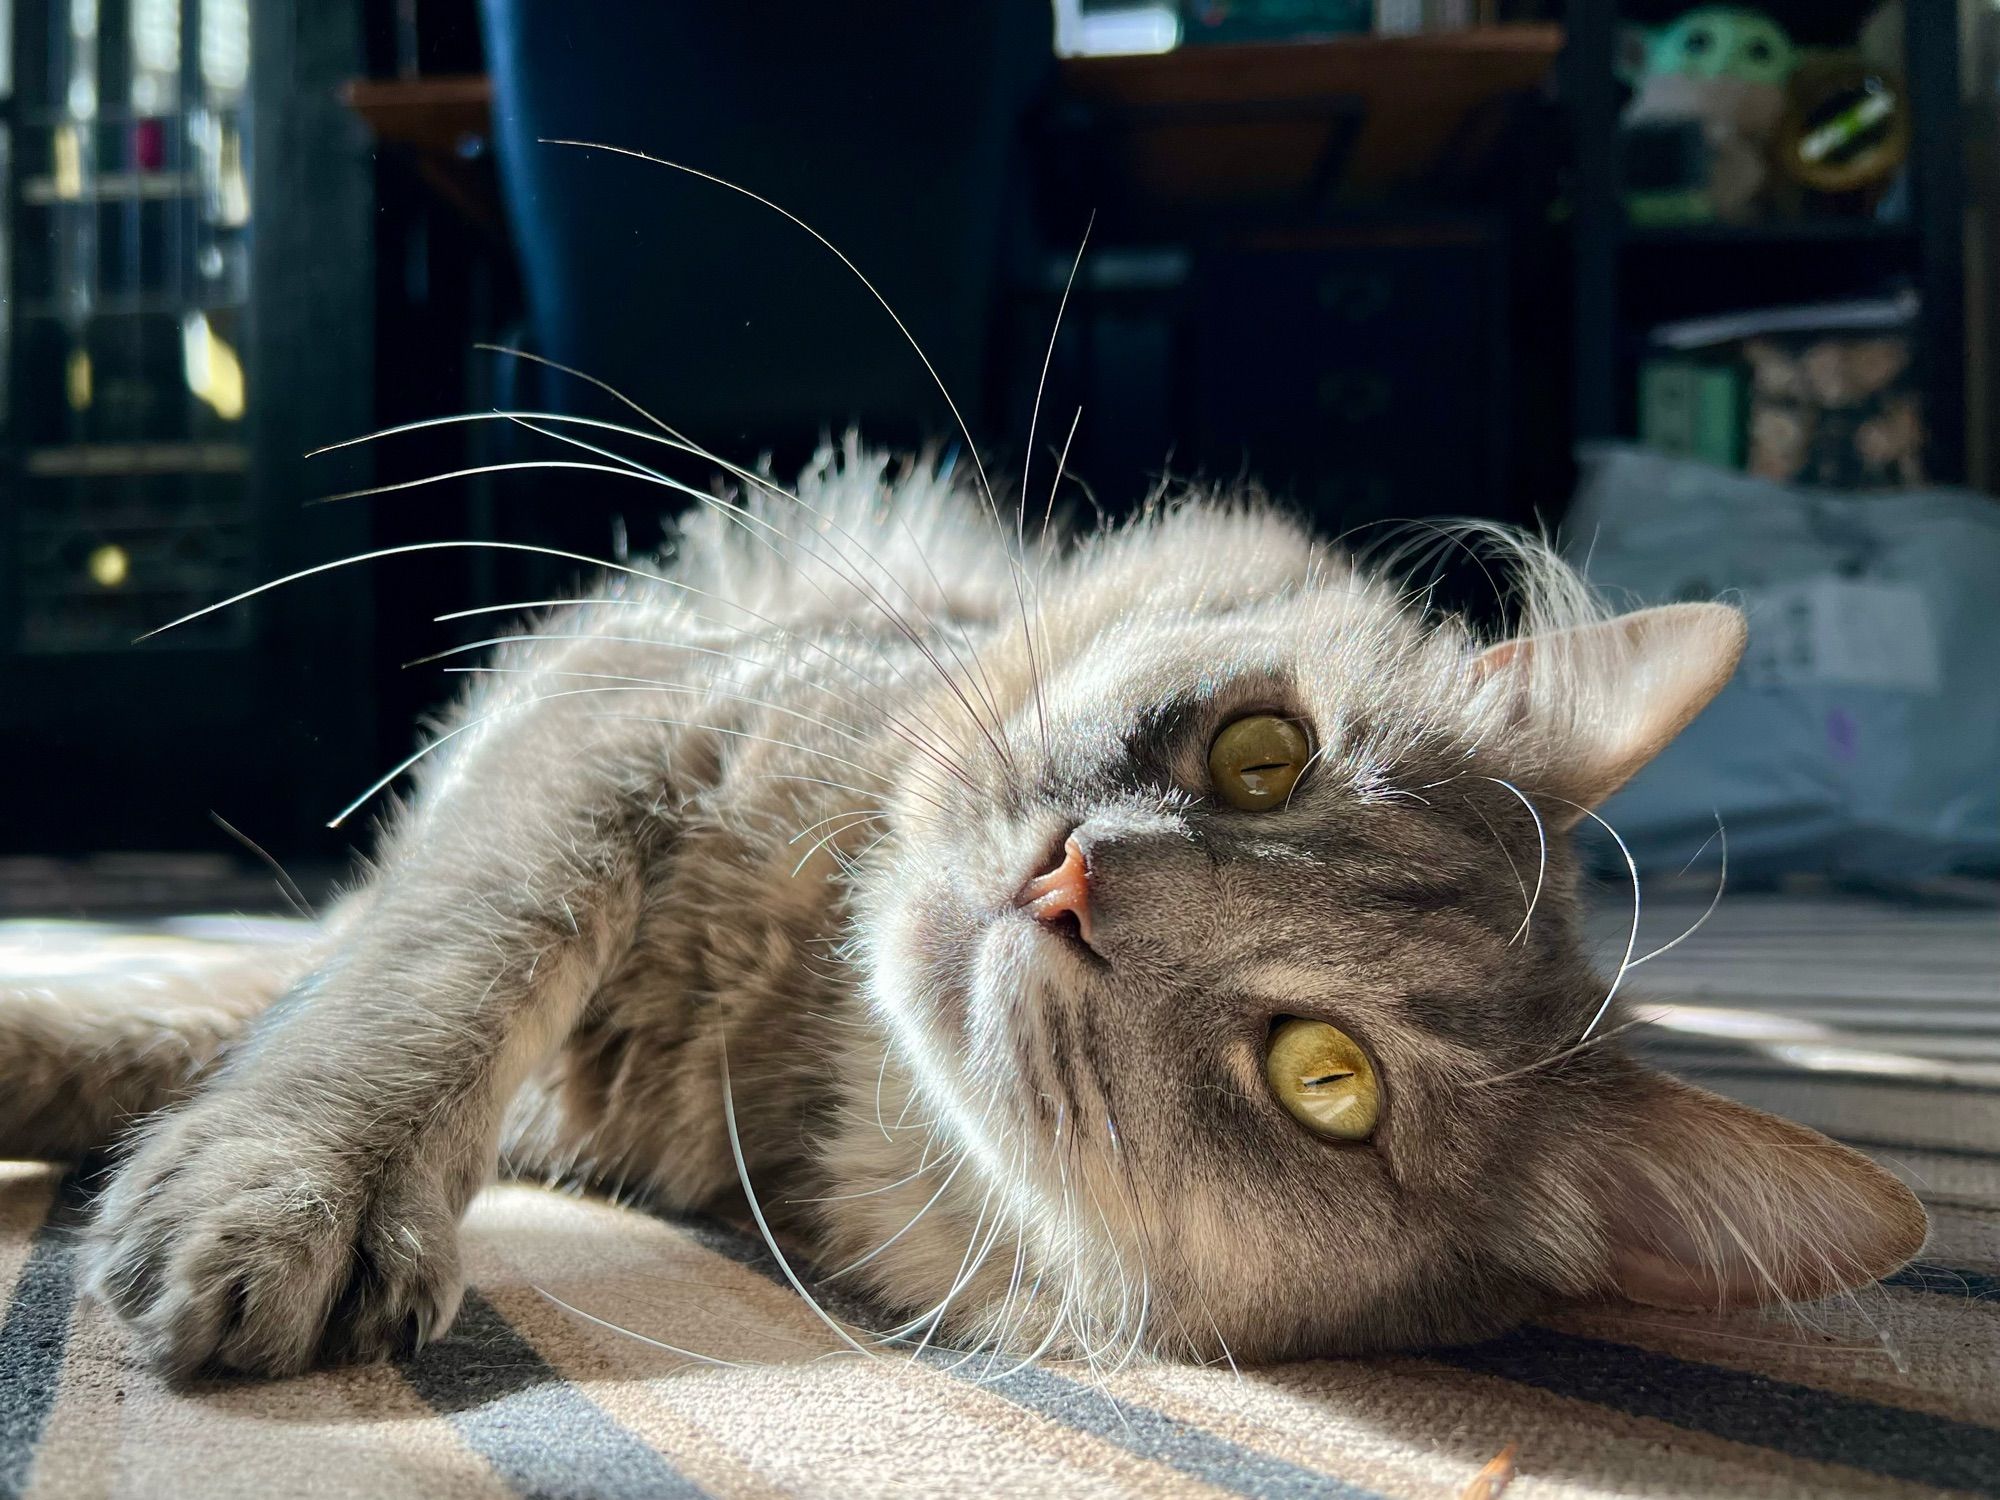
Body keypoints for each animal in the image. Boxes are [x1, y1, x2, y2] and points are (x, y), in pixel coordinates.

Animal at [0, 440, 1920, 1384]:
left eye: (1327, 1084)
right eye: (1265, 755)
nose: (1071, 881)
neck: (783, 1025)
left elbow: (298, 1011)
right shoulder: (627, 734)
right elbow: (395, 986)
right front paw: (276, 1178)